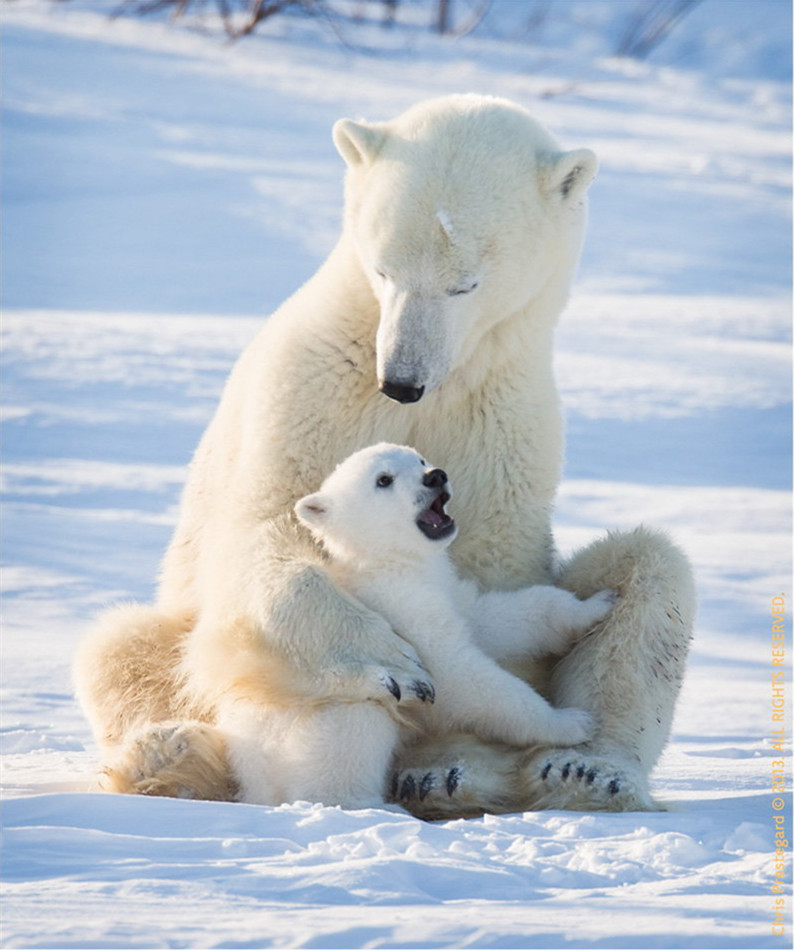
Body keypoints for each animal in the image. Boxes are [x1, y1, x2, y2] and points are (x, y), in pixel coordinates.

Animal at [74, 93, 692, 816]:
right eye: (382, 268)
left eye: (465, 284)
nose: (401, 380)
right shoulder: (309, 387)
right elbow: (267, 529)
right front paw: (390, 659)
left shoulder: (506, 422)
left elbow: (490, 586)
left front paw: (466, 755)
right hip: (182, 636)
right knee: (120, 648)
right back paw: (171, 756)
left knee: (652, 573)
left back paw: (563, 772)